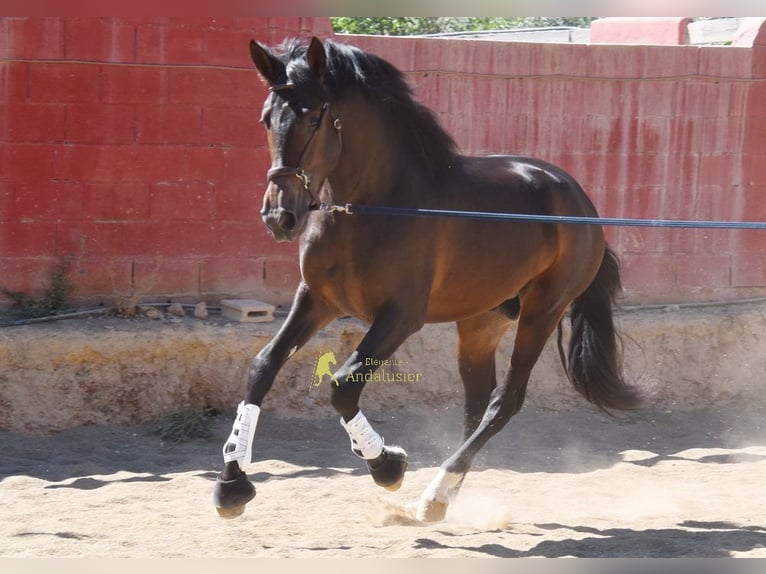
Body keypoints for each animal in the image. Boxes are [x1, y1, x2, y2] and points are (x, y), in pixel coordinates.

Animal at [212, 36, 643, 521]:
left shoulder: (401, 316)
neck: (370, 207)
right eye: (267, 118)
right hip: (480, 321)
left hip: (542, 312)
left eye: (313, 117)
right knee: (478, 401)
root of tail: (583, 203)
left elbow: (343, 386)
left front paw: (387, 465)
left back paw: (435, 494)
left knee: (505, 400)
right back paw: (450, 493)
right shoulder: (316, 300)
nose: (280, 217)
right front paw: (231, 485)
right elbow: (262, 367)